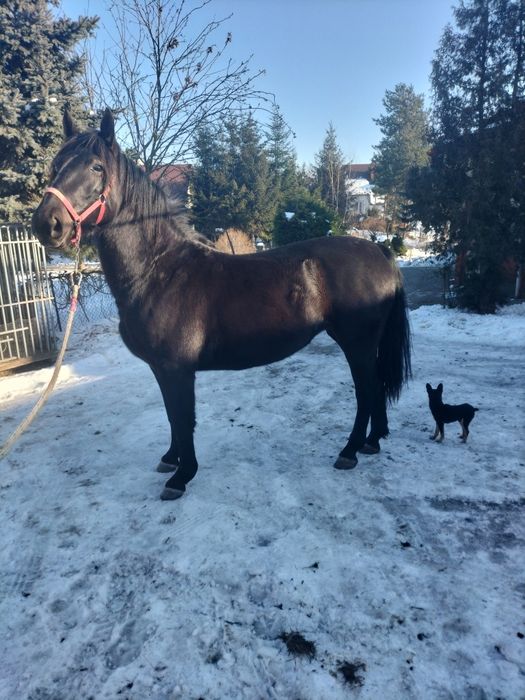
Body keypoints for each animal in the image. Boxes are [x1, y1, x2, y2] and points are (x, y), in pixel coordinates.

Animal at [32, 109, 411, 501]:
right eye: (56, 164)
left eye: (96, 167)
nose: (47, 224)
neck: (157, 271)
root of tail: (380, 250)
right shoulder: (161, 369)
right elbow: (171, 416)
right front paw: (170, 459)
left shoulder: (176, 369)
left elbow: (182, 418)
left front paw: (181, 476)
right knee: (376, 388)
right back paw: (371, 443)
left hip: (357, 344)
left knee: (366, 391)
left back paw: (350, 451)